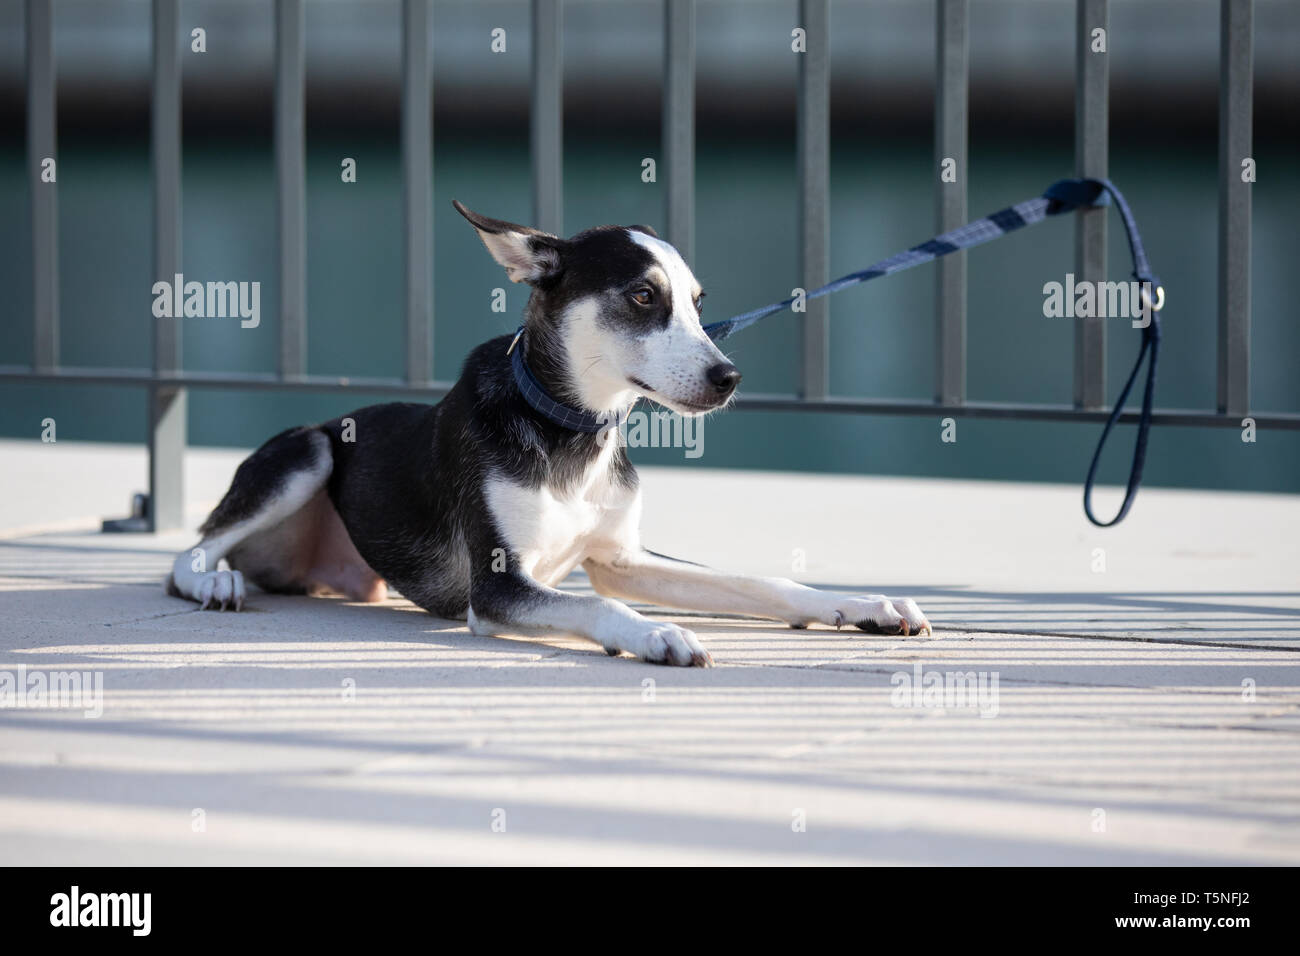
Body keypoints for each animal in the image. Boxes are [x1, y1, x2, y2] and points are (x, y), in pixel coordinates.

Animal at [162, 201, 930, 665]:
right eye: (643, 296)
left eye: (697, 303)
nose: (728, 377)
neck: (575, 433)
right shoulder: (501, 588)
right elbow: (599, 603)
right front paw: (656, 632)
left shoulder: (622, 557)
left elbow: (760, 581)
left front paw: (866, 605)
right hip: (309, 451)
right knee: (189, 553)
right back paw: (217, 583)